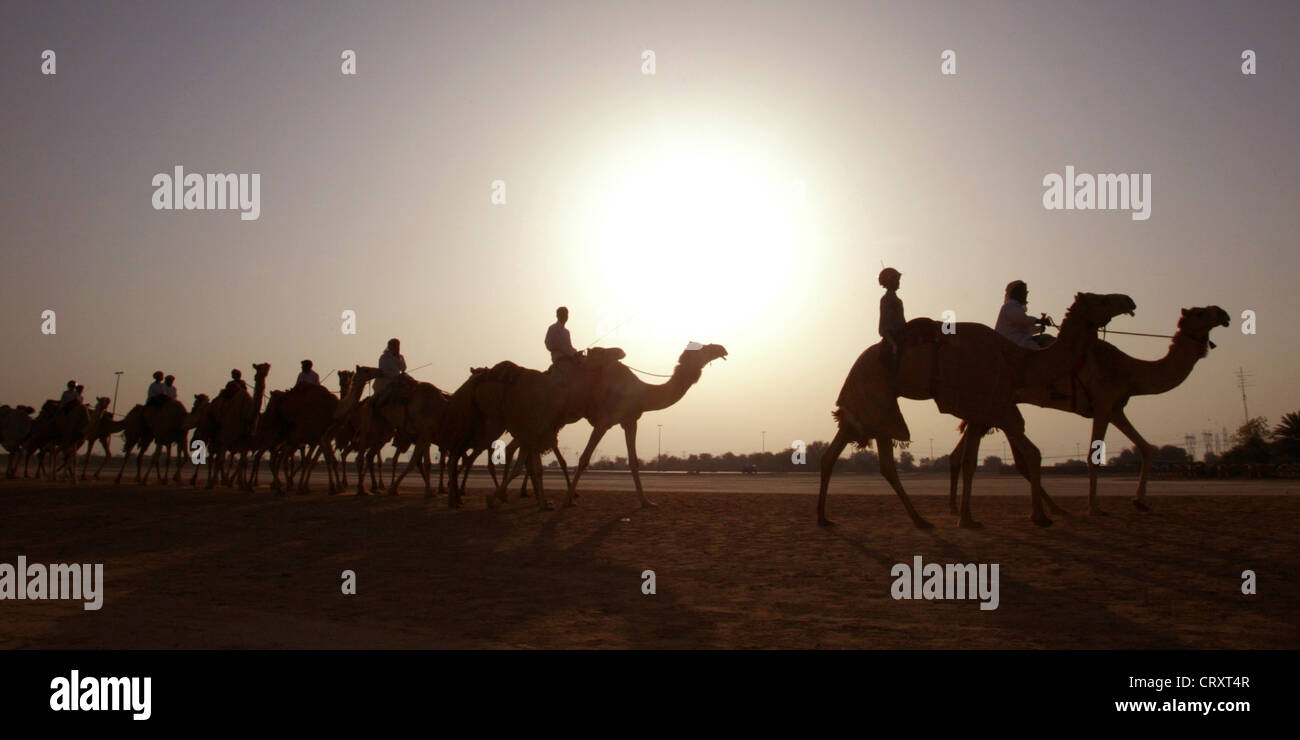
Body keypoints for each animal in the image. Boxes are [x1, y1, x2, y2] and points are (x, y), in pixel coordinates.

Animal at [821, 291, 1138, 528]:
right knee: (878, 458)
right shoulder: (992, 405)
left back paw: (827, 518)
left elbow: (971, 461)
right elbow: (1028, 454)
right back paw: (917, 520)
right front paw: (1039, 516)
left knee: (838, 453)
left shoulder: (983, 409)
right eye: (1102, 300)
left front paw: (967, 518)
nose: (1129, 301)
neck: (1017, 362)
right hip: (877, 400)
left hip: (866, 409)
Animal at [946, 305, 1227, 512]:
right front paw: (1094, 507)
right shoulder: (1102, 405)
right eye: (1200, 313)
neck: (1127, 370)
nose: (1224, 313)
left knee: (968, 454)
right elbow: (1094, 458)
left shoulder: (1116, 409)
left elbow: (1147, 448)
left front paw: (1140, 501)